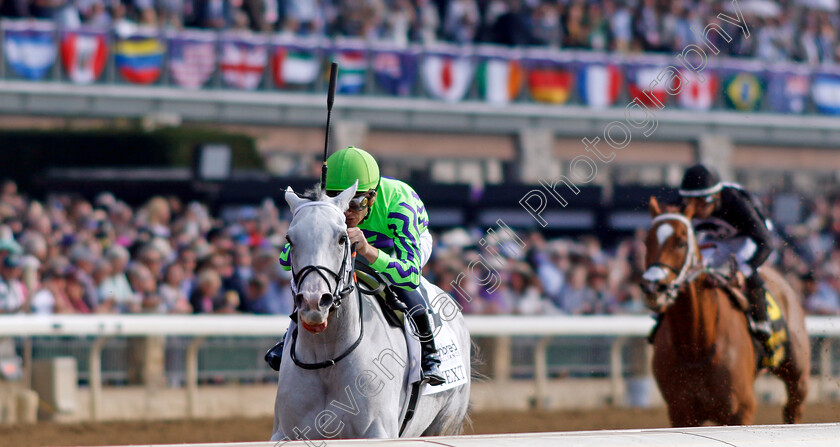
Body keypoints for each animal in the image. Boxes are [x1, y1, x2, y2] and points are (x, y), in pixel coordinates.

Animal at [270, 183, 472, 440]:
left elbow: (407, 267)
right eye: (290, 239)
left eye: (342, 238)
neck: (327, 358)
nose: (314, 301)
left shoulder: (379, 432)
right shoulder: (286, 432)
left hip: (445, 422)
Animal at [644, 197, 808, 428]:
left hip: (797, 377)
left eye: (681, 242)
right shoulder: (681, 413)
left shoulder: (740, 411)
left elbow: (763, 239)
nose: (652, 287)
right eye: (646, 242)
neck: (697, 347)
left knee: (793, 409)